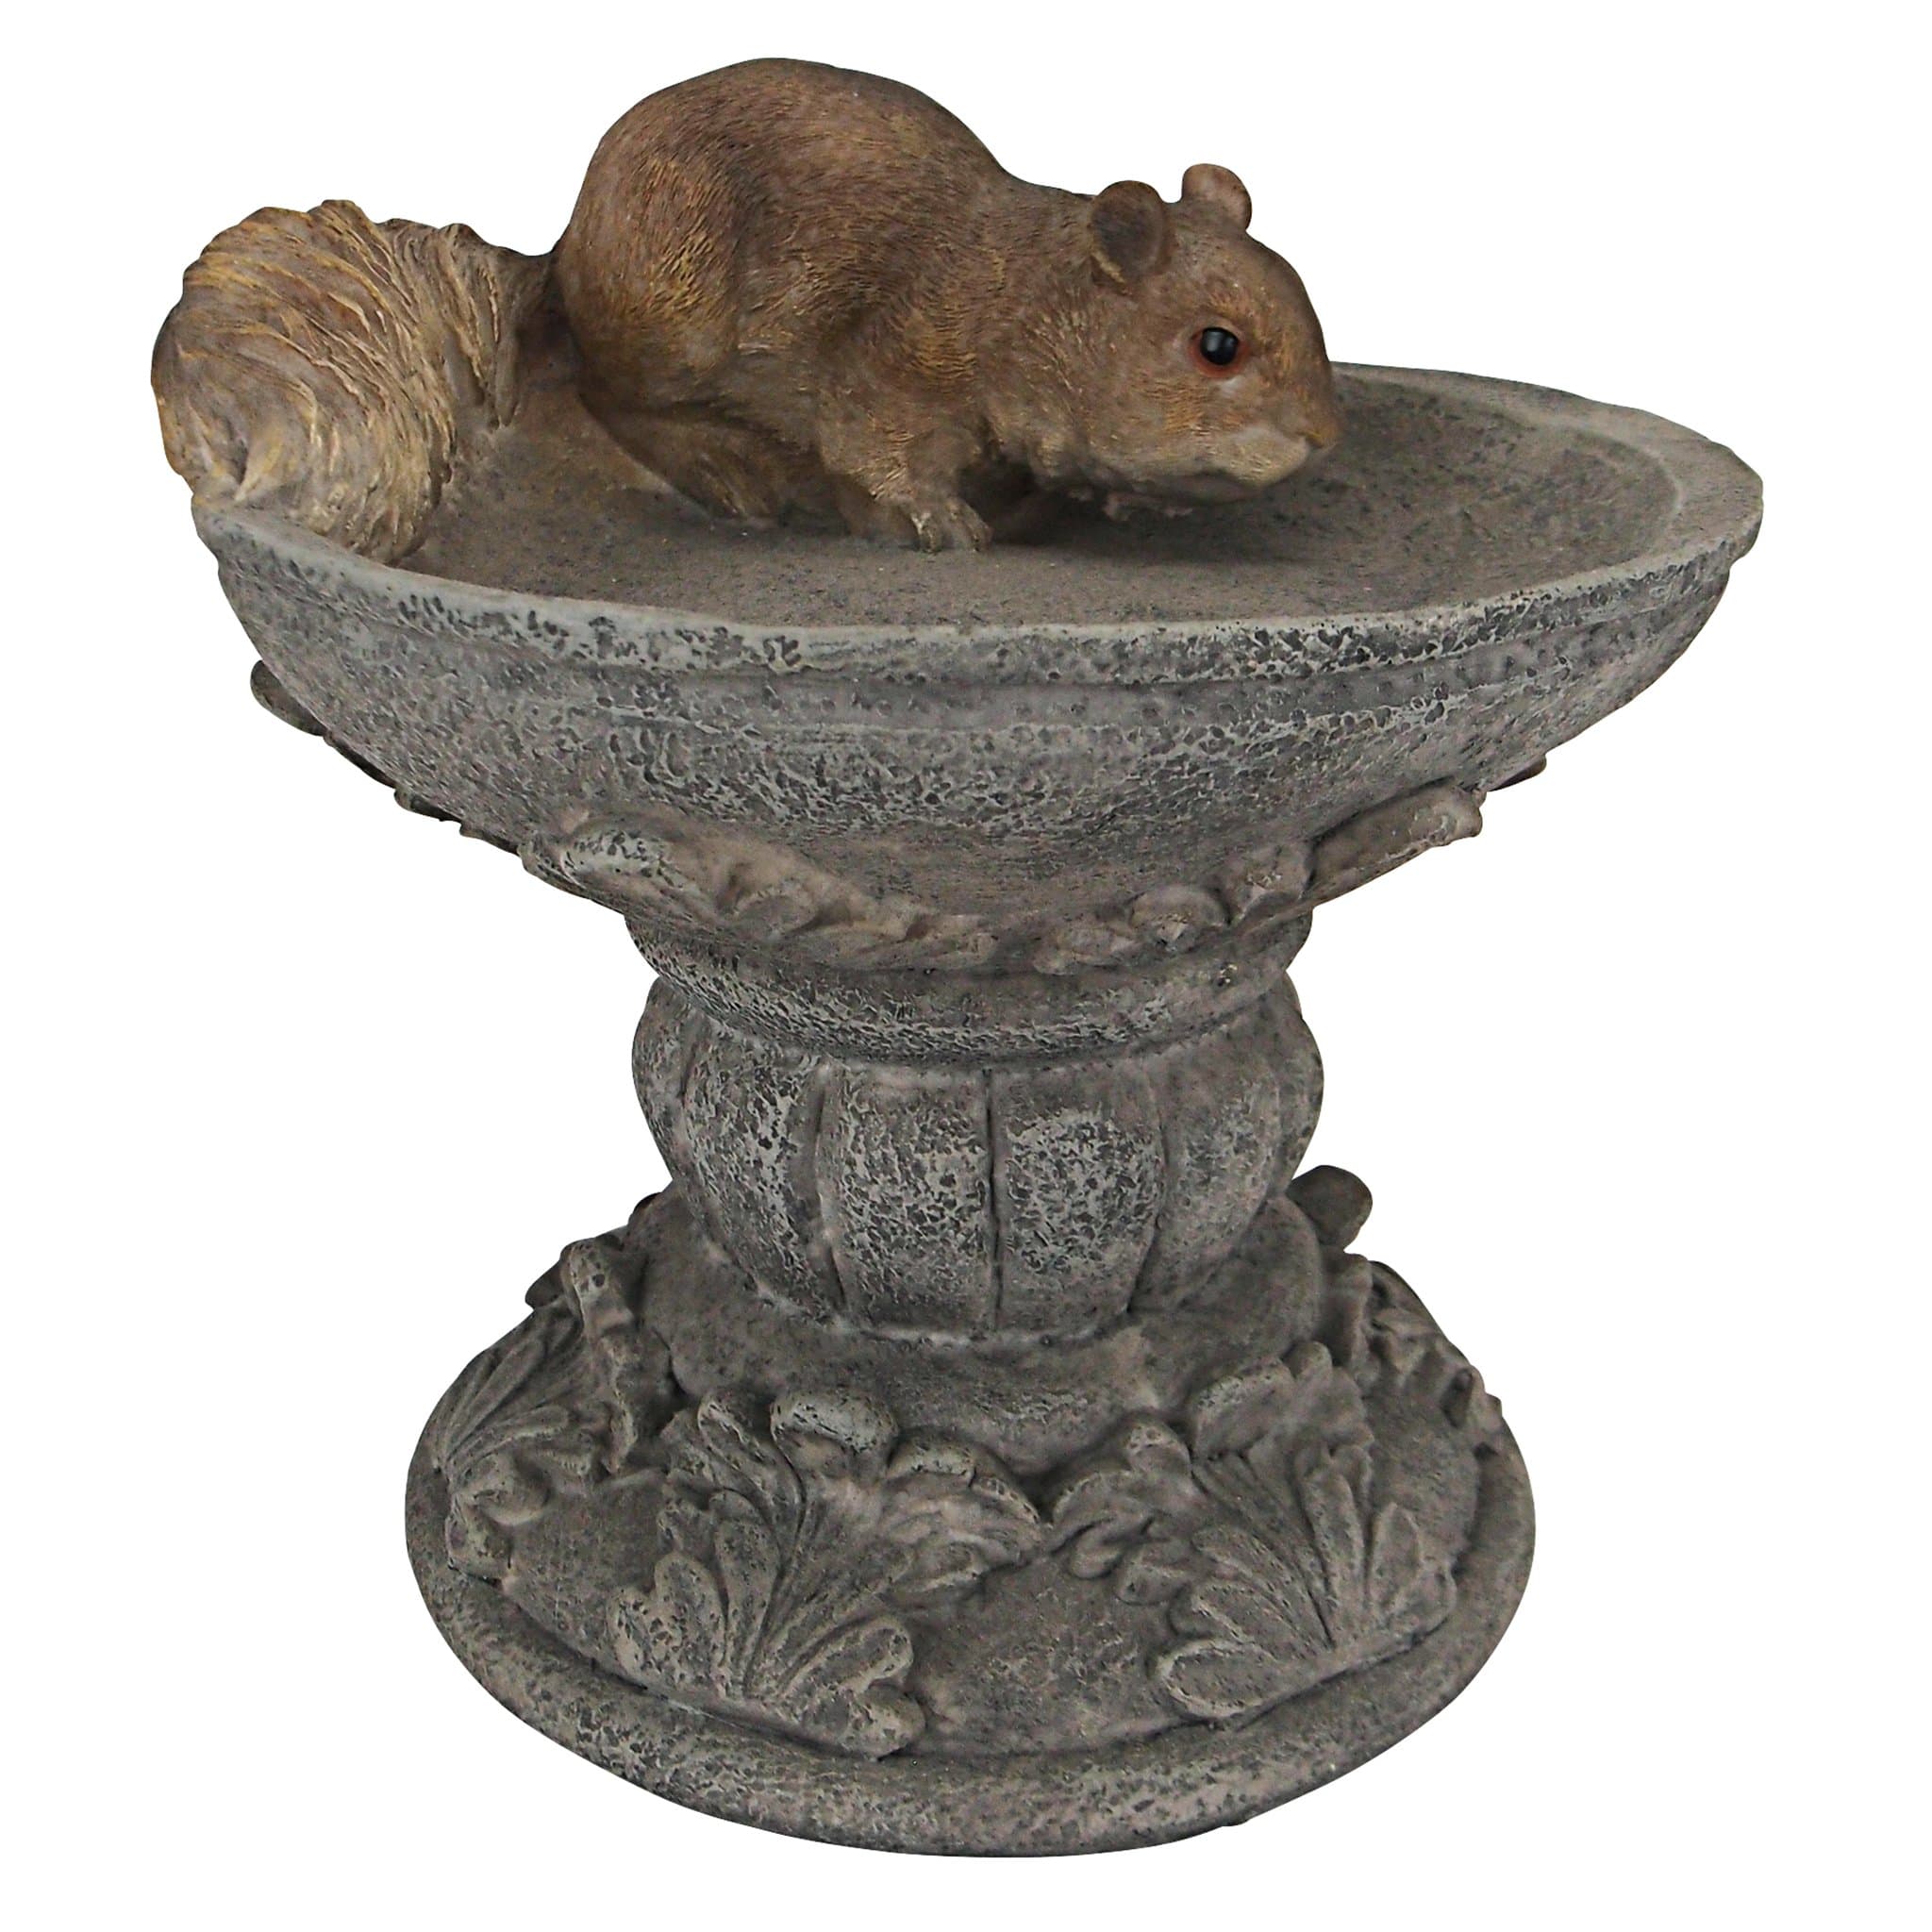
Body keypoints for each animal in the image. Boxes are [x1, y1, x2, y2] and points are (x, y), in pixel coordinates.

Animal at [555, 58, 1341, 551]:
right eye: (1218, 347)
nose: (1324, 434)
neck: (1024, 303)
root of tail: (569, 244)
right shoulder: (895, 357)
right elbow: (870, 446)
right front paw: (943, 520)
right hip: (671, 307)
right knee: (610, 400)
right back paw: (728, 476)